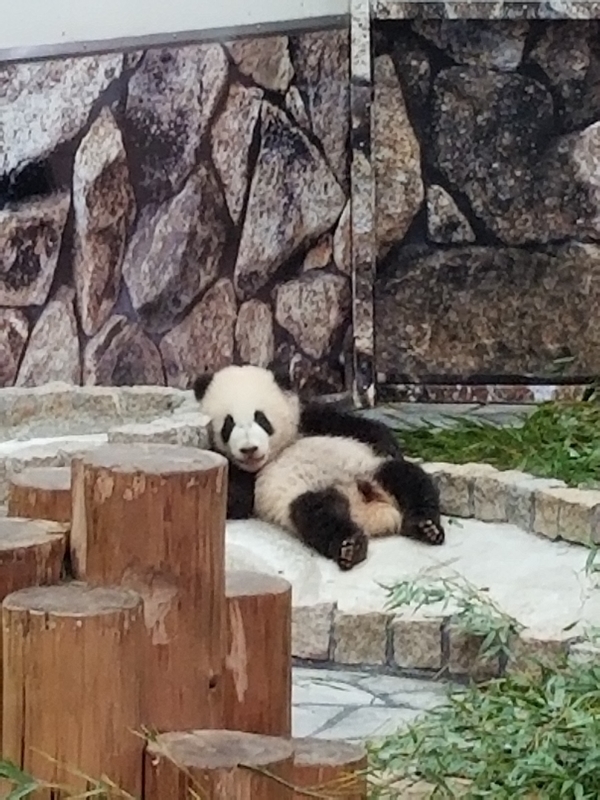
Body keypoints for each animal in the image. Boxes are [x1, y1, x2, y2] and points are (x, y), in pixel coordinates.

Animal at [193, 364, 444, 570]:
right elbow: (237, 499)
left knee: (409, 479)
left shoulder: (307, 420)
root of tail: (370, 513)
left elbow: (353, 425)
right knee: (318, 514)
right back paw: (350, 546)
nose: (249, 449)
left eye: (261, 419)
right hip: (303, 496)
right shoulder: (247, 477)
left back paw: (427, 527)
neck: (278, 452)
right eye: (228, 425)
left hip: (371, 469)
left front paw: (388, 443)